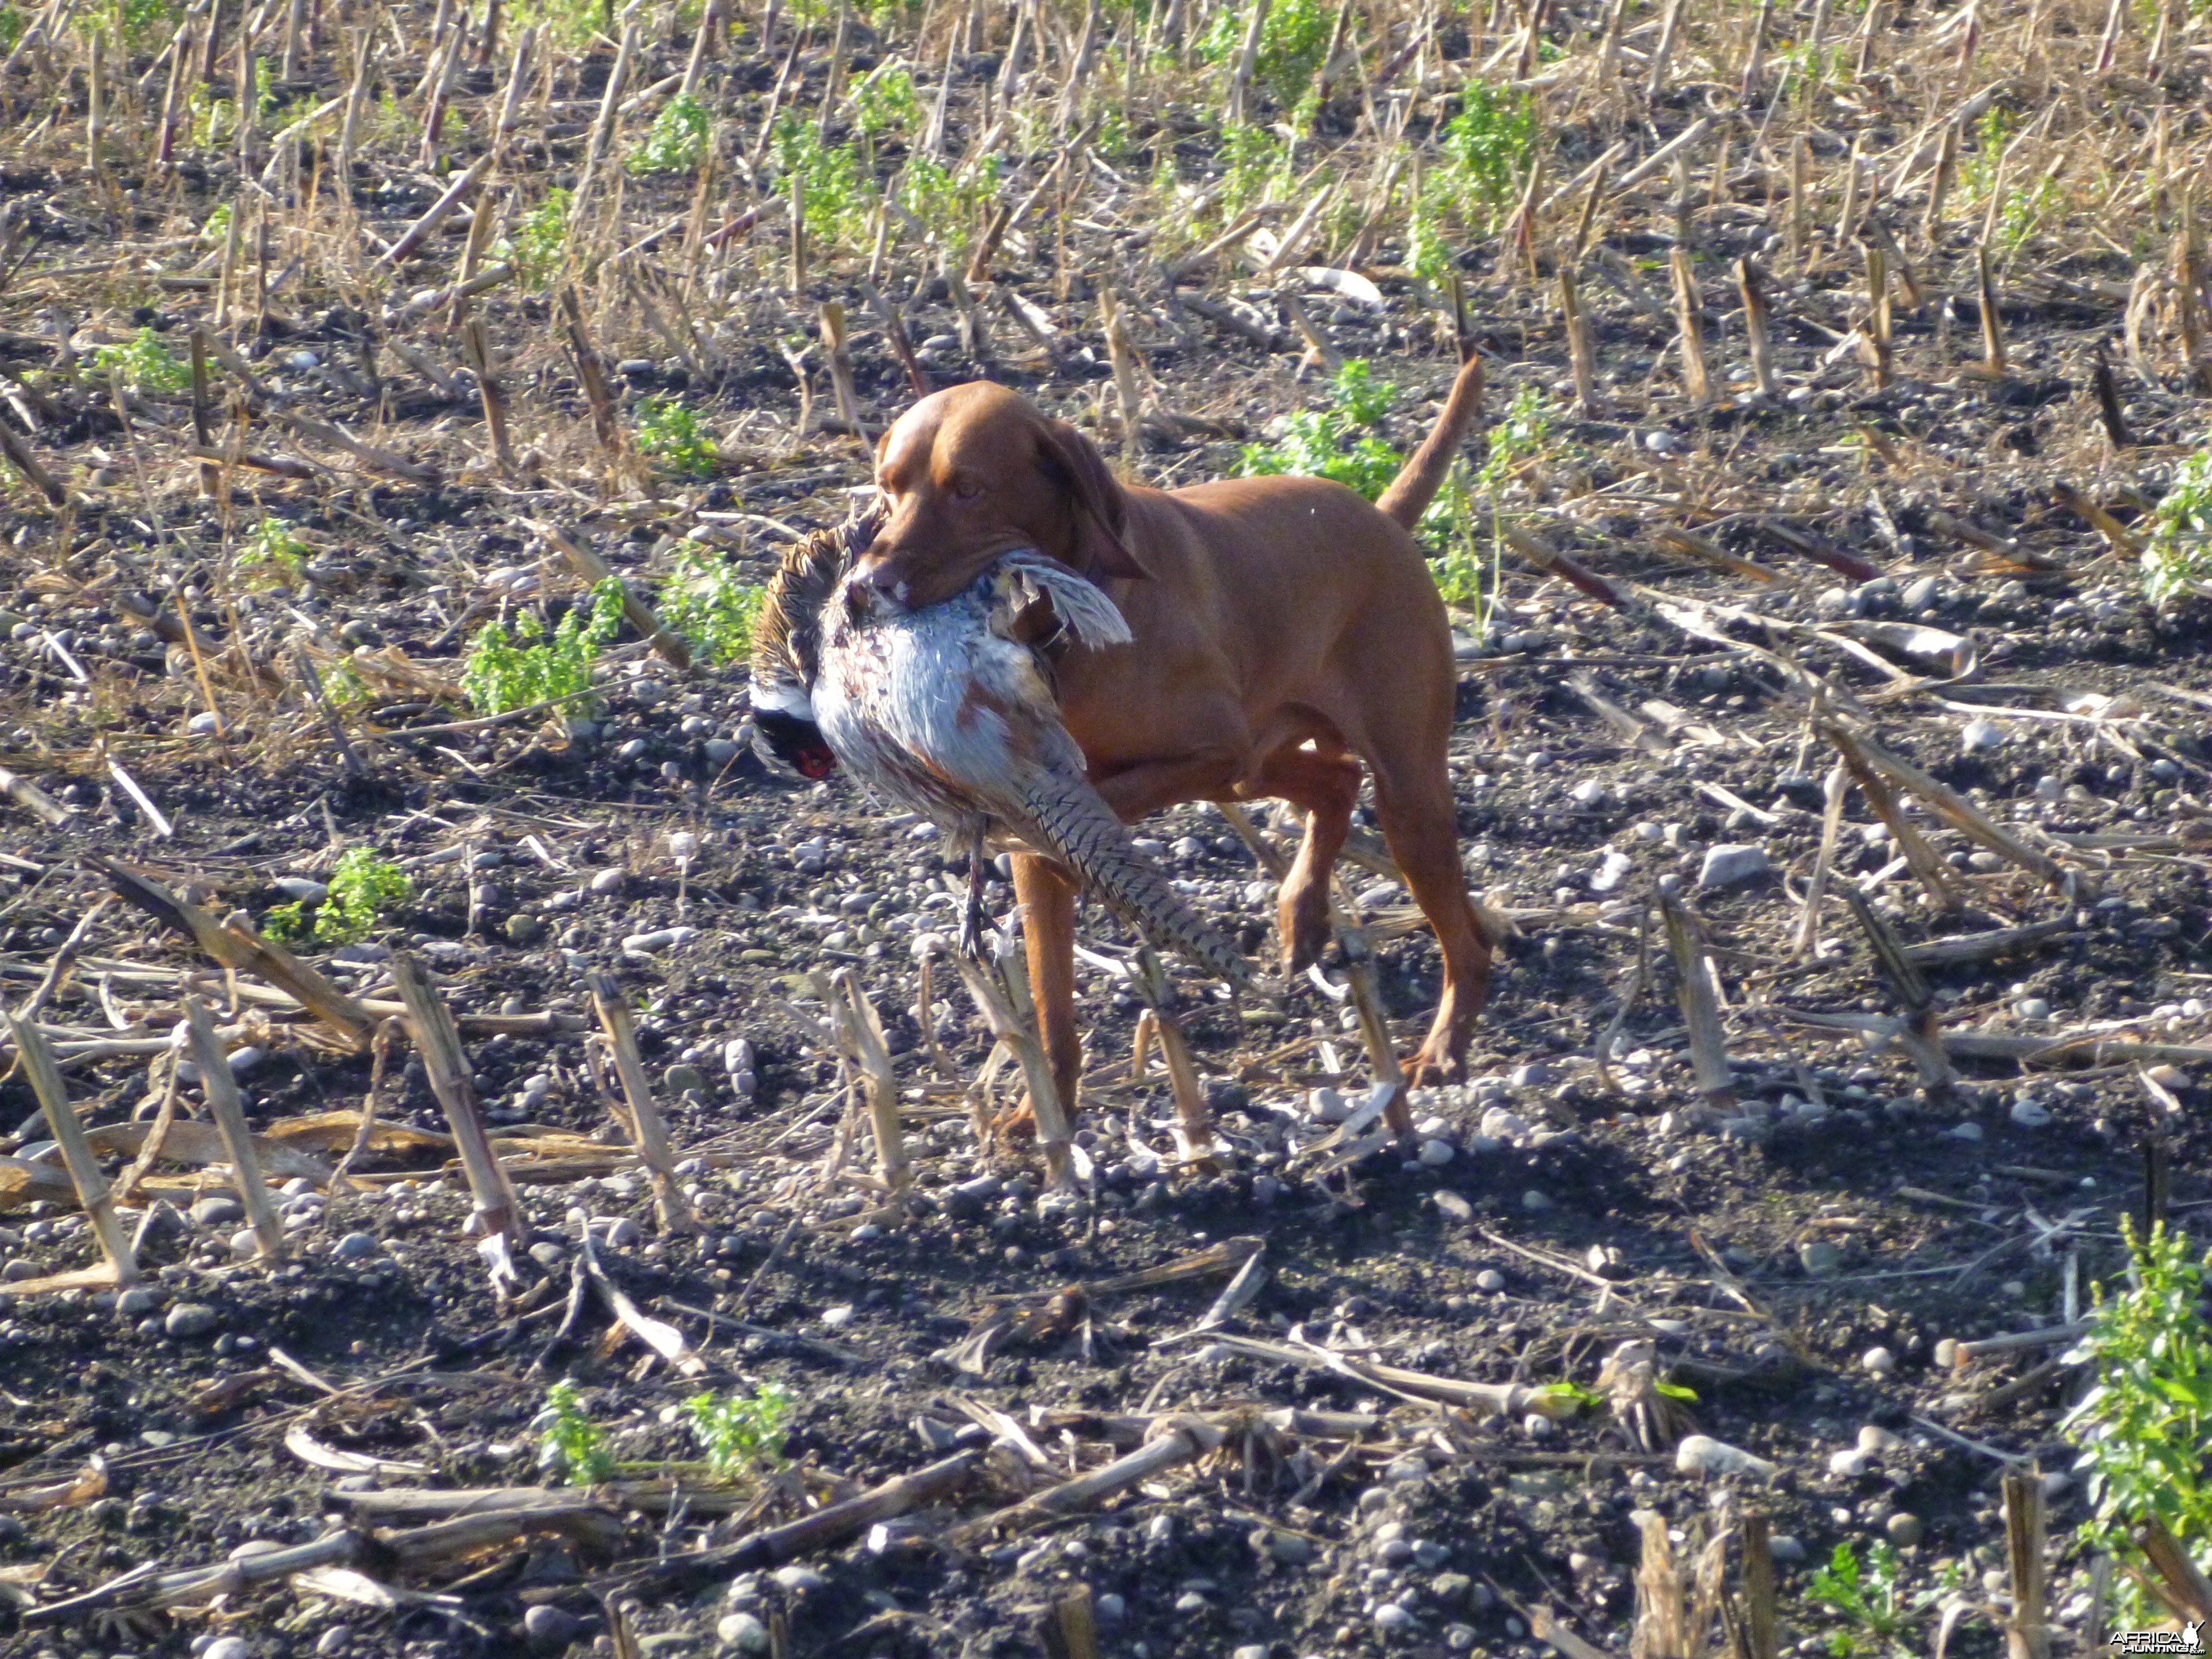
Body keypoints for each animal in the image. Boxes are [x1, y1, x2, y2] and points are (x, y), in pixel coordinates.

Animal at [854, 361, 1495, 1119]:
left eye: (969, 489)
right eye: (888, 487)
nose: (864, 585)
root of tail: (1380, 517)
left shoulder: (1213, 748)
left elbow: (1101, 805)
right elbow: (1051, 1006)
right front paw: (1045, 1117)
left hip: (1401, 792)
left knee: (1463, 938)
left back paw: (1445, 1046)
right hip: (1260, 765)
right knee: (1336, 782)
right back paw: (1302, 913)